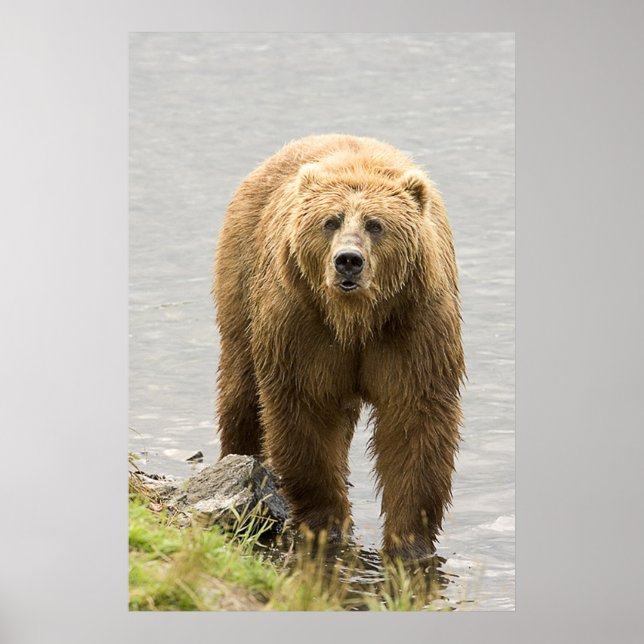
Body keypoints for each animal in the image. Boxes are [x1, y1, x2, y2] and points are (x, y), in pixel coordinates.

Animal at [213, 134, 465, 558]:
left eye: (376, 224)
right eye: (330, 221)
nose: (348, 260)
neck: (356, 319)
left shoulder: (414, 327)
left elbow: (416, 421)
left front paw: (408, 541)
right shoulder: (302, 326)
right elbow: (305, 414)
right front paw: (326, 522)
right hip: (242, 274)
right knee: (242, 387)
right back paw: (236, 458)